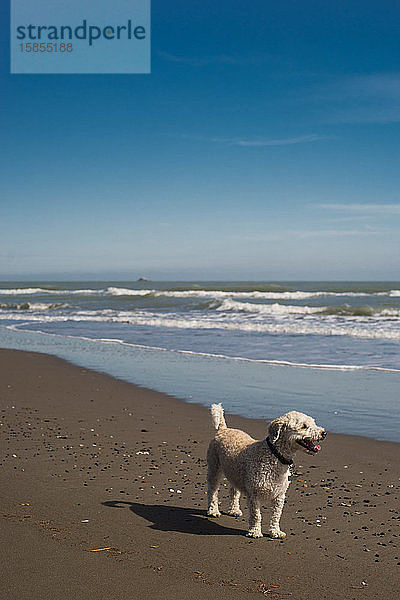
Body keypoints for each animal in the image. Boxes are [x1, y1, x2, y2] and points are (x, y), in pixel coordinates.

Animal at [208, 404, 326, 540]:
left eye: (313, 422)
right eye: (304, 426)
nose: (324, 433)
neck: (274, 455)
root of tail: (223, 429)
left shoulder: (279, 495)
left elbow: (276, 515)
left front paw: (275, 532)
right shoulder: (254, 495)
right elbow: (256, 515)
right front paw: (255, 532)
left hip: (234, 473)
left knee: (233, 491)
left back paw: (234, 510)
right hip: (214, 468)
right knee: (212, 491)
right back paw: (213, 511)